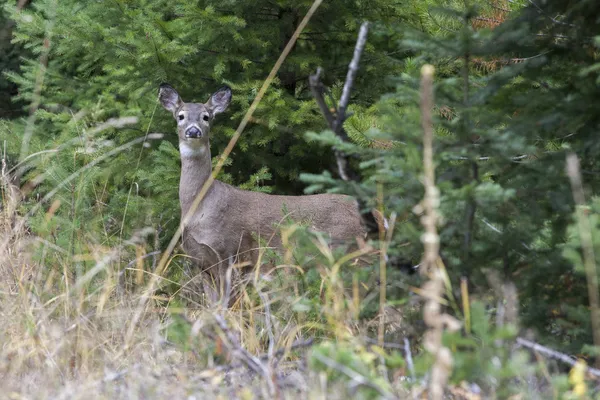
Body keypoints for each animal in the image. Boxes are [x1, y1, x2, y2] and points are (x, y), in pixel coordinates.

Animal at [157, 83, 368, 304]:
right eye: (180, 116)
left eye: (206, 117)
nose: (193, 131)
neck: (200, 206)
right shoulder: (201, 262)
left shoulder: (231, 252)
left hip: (350, 255)